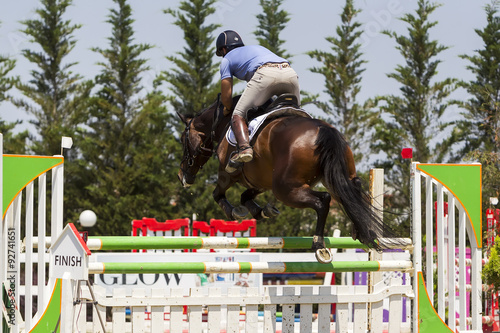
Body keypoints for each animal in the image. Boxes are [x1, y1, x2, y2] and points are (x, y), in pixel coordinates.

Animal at [179, 94, 390, 264]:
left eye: (183, 139)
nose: (182, 176)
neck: (221, 123)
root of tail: (324, 130)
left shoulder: (228, 173)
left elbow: (218, 194)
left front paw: (235, 213)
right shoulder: (261, 180)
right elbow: (246, 196)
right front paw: (263, 211)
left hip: (286, 189)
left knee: (323, 201)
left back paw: (319, 246)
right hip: (333, 177)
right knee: (353, 194)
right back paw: (365, 233)